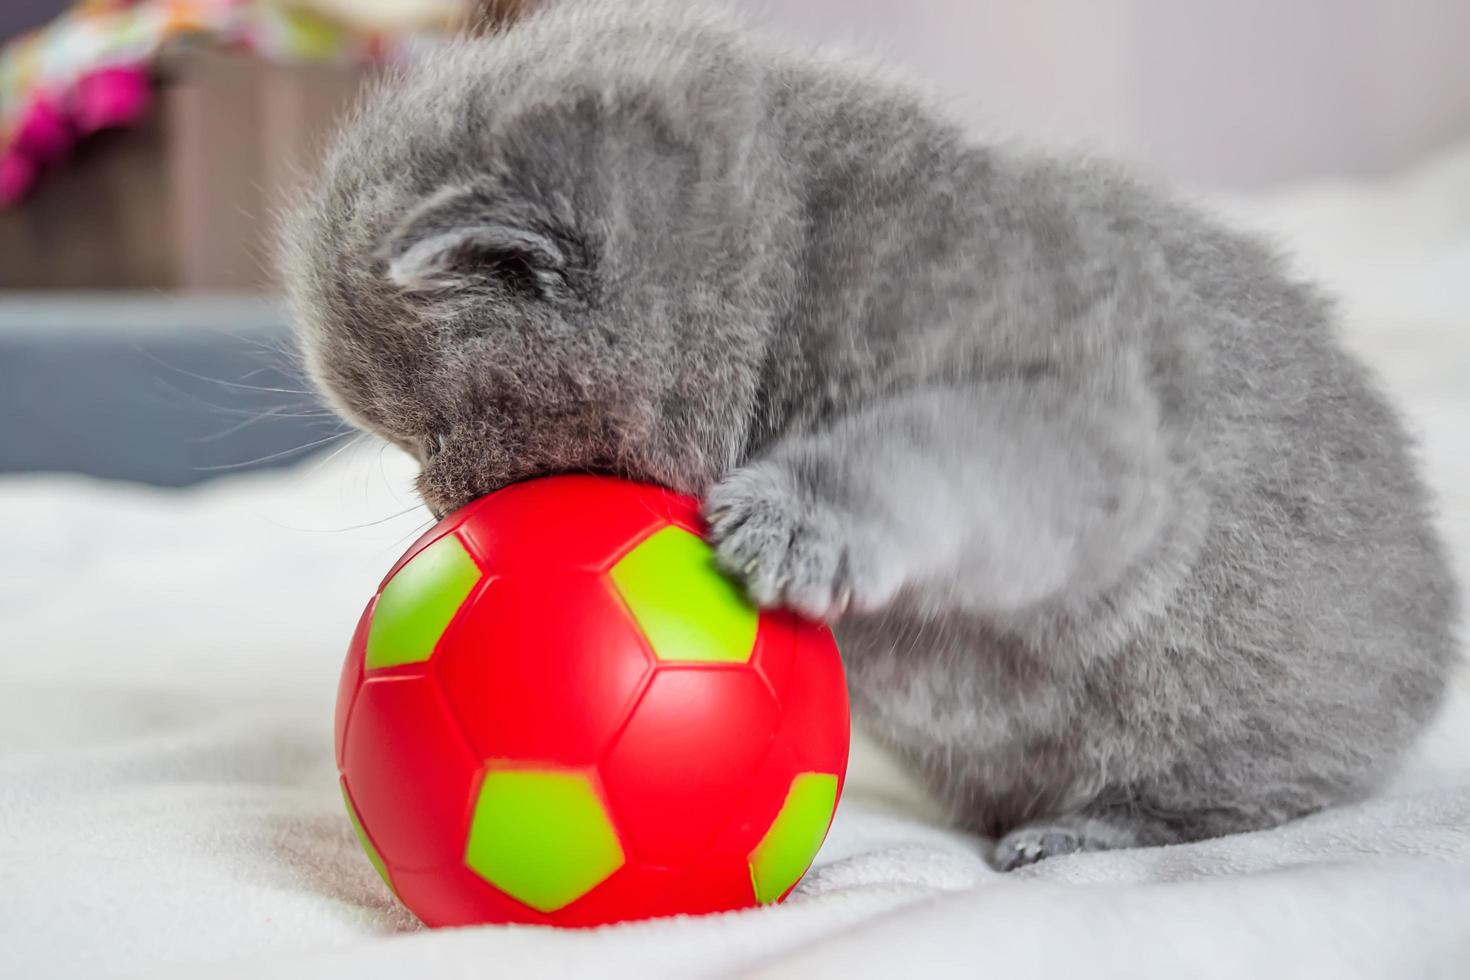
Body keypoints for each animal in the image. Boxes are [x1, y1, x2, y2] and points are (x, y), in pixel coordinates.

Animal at [283, 0, 1458, 863]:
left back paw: (1079, 830)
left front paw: (797, 518)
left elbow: (924, 452)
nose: (432, 493)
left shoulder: (1080, 418)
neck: (791, 276)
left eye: (424, 428)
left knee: (1240, 797)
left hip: (1216, 714)